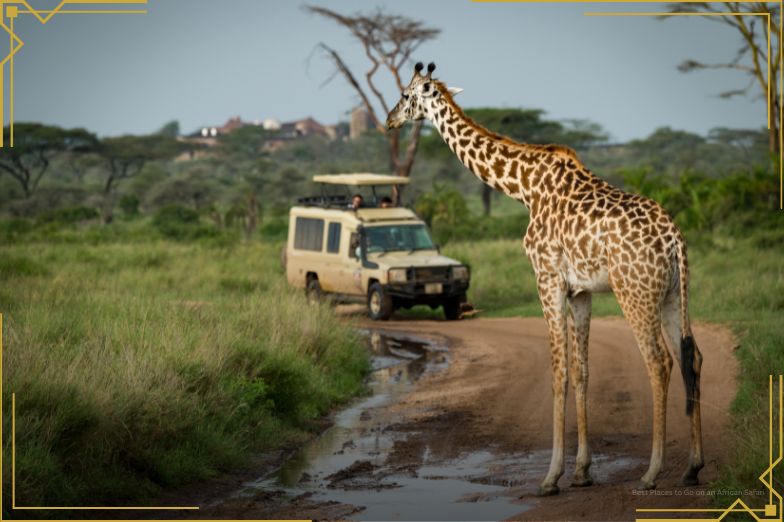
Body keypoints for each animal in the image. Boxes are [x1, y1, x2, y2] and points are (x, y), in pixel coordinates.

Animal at [386, 62, 704, 495]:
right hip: (671, 294)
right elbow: (582, 371)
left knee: (659, 362)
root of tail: (675, 240)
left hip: (634, 291)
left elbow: (559, 372)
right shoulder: (581, 291)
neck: (523, 187)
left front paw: (552, 477)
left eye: (406, 95)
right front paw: (583, 472)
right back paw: (692, 467)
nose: (389, 120)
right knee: (692, 357)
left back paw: (652, 473)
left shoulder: (547, 278)